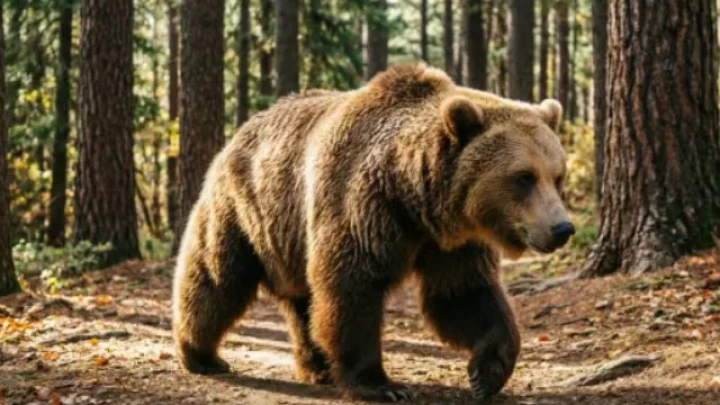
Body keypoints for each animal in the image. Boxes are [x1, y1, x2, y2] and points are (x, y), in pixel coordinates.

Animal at [172, 64, 573, 402]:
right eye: (524, 177)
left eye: (557, 176)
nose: (562, 228)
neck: (415, 198)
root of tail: (240, 132)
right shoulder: (362, 206)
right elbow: (352, 290)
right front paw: (381, 384)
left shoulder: (452, 242)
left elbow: (462, 293)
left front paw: (487, 372)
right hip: (245, 211)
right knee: (217, 277)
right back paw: (201, 355)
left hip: (290, 238)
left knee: (303, 302)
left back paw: (317, 367)